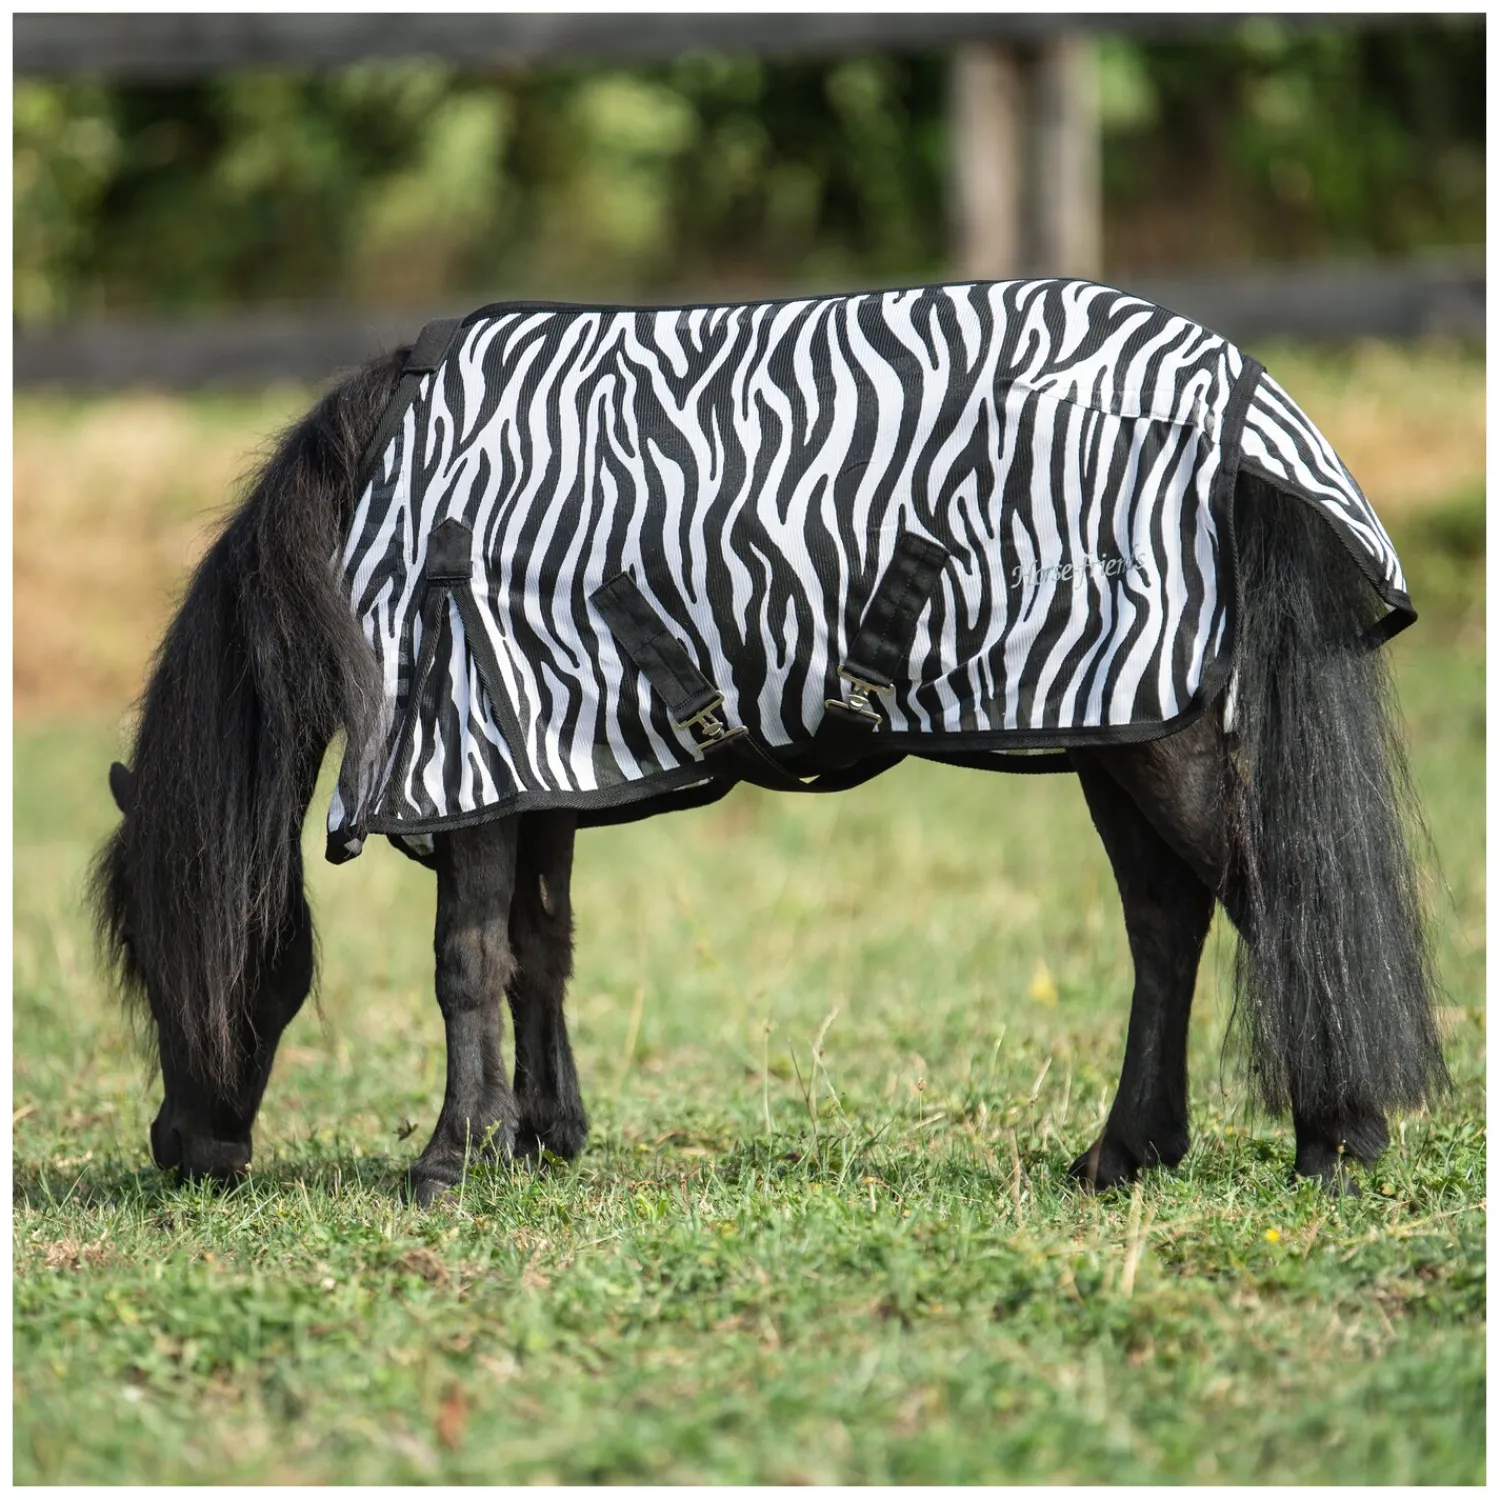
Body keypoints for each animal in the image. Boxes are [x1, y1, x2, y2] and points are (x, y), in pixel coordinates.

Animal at [90, 283, 1448, 1205]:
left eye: (161, 955)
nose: (184, 1153)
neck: (395, 506)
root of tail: (1243, 409)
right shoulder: (540, 762)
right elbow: (539, 952)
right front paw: (541, 1135)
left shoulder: (471, 741)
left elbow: (465, 962)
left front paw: (449, 1161)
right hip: (1118, 732)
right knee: (1168, 925)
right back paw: (1126, 1153)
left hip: (1155, 738)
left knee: (1274, 903)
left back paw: (1337, 1136)